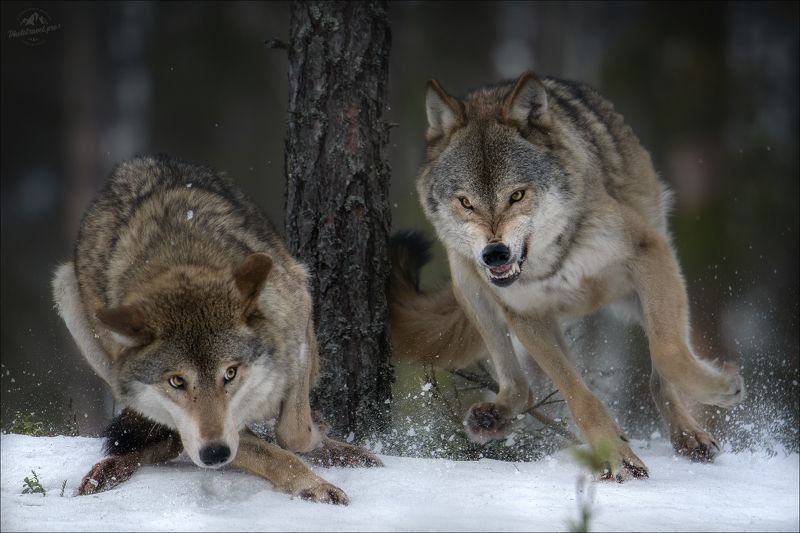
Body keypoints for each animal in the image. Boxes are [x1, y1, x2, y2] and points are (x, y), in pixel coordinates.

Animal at [52, 155, 380, 504]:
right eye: (177, 381)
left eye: (230, 373)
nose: (215, 454)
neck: (181, 259)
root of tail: (133, 165)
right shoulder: (202, 431)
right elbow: (266, 451)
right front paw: (312, 484)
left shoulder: (297, 312)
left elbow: (292, 434)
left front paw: (317, 438)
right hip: (65, 290)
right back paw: (109, 469)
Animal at [391, 72, 745, 480]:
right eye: (465, 202)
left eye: (517, 195)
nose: (494, 254)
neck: (552, 262)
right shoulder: (524, 313)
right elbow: (579, 395)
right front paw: (615, 456)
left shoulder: (649, 251)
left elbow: (669, 353)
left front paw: (722, 388)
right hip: (470, 283)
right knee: (522, 389)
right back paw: (494, 417)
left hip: (647, 288)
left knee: (661, 370)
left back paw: (689, 434)